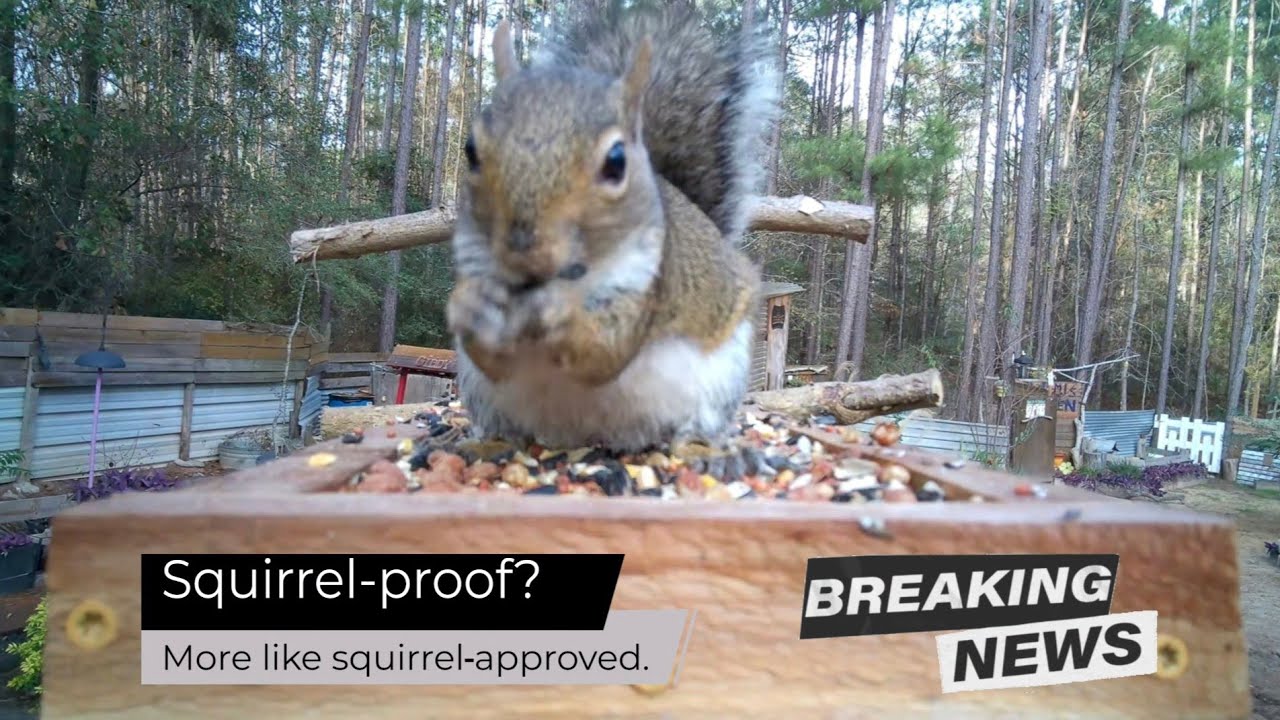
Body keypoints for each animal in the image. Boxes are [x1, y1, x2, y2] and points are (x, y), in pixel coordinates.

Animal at [446, 2, 780, 454]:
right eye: (471, 151)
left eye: (616, 161)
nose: (524, 250)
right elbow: (493, 359)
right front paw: (469, 304)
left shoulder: (648, 286)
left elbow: (604, 353)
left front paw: (561, 314)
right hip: (480, 393)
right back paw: (493, 443)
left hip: (724, 374)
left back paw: (692, 442)